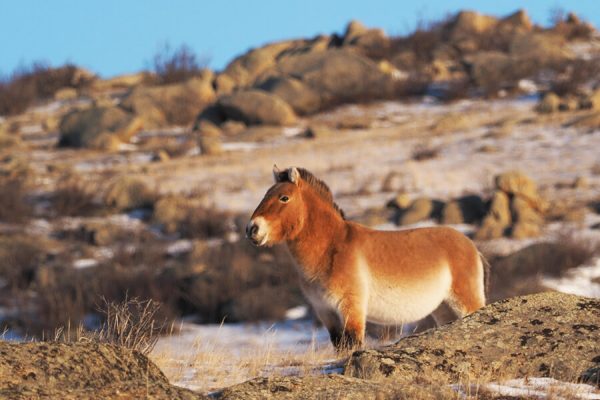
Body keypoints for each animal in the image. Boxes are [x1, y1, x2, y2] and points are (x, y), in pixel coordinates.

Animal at [246, 166, 486, 350]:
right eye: (265, 195)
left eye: (284, 197)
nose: (252, 229)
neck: (331, 249)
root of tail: (470, 246)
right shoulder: (326, 313)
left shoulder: (351, 309)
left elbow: (353, 344)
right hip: (444, 309)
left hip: (465, 302)